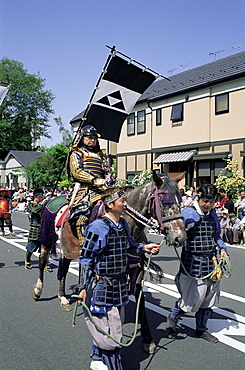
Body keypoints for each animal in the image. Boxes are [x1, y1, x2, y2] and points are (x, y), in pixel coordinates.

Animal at [31, 173, 185, 352]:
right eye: (164, 201)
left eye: (180, 202)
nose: (180, 237)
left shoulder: (135, 265)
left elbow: (138, 296)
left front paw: (148, 338)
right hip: (47, 239)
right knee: (43, 262)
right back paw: (40, 291)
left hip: (66, 248)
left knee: (63, 268)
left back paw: (63, 297)